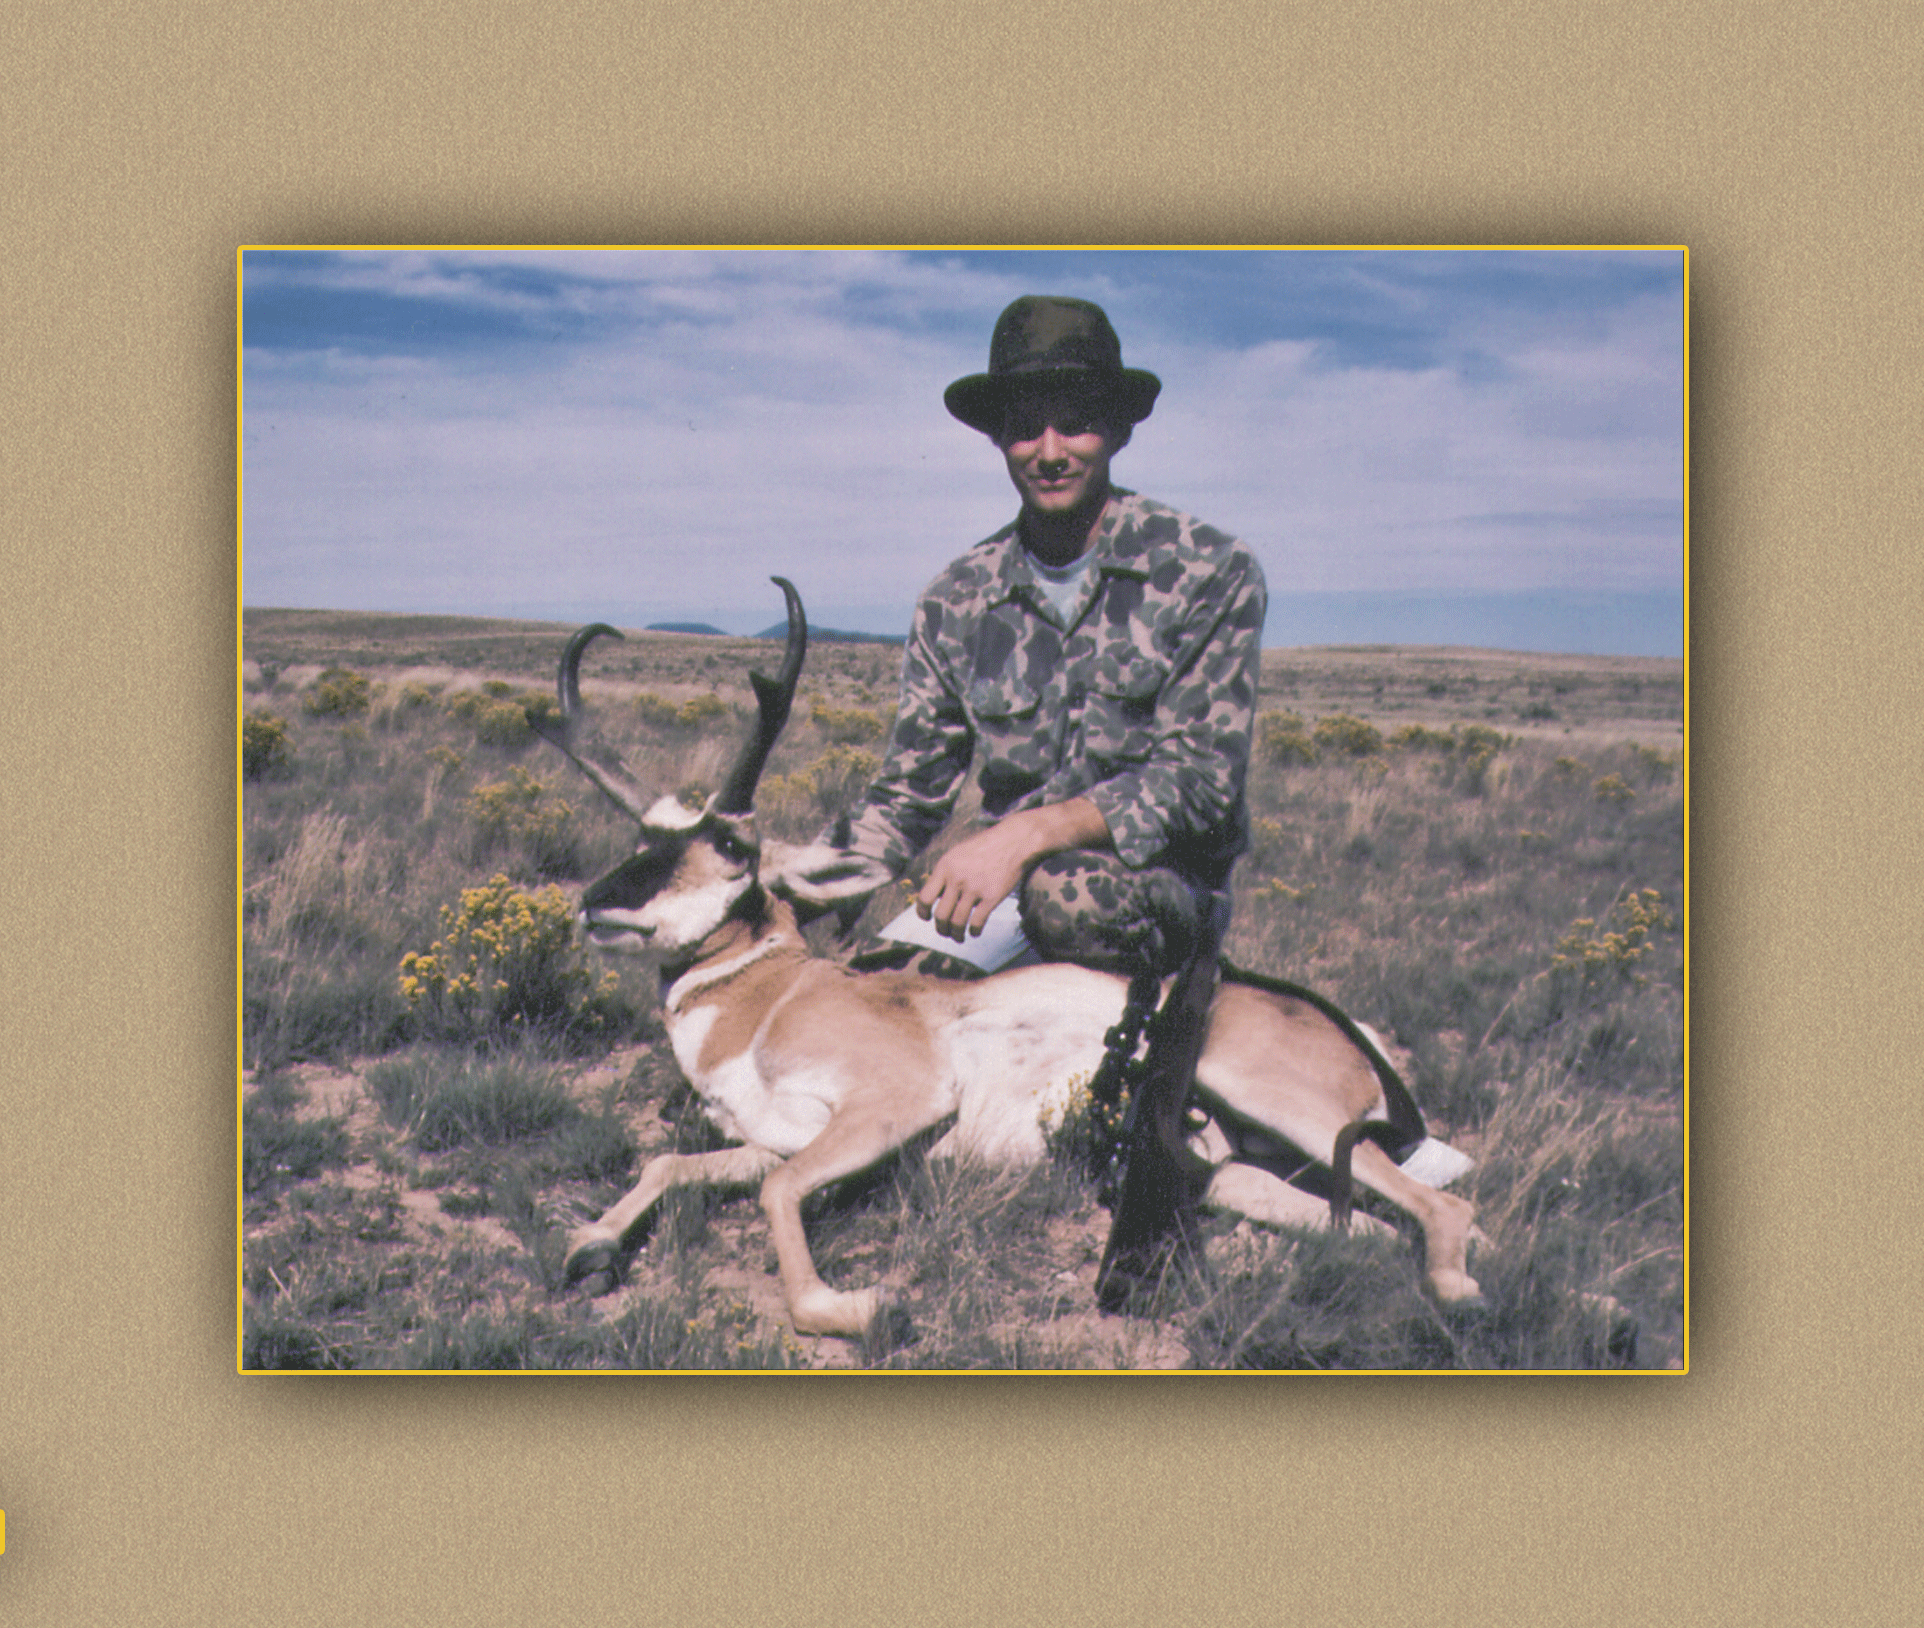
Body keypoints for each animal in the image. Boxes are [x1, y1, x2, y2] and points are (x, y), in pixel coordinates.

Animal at [533, 578, 1482, 1342]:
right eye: (644, 836)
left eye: (731, 845)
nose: (597, 904)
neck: (772, 1001)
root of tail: (1348, 1031)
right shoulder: (776, 1141)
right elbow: (671, 1165)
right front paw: (591, 1246)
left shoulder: (892, 1105)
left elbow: (776, 1199)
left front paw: (858, 1307)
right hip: (1242, 1174)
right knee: (1367, 1227)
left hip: (1287, 1108)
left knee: (1445, 1204)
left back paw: (1461, 1295)